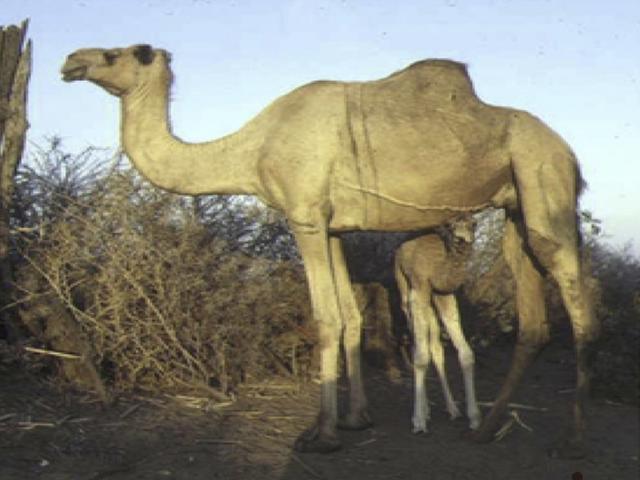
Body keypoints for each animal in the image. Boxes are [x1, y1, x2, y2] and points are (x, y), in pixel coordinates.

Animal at [395, 217, 480, 434]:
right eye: (451, 226)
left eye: (473, 225)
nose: (462, 240)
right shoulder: (419, 287)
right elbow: (420, 357)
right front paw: (418, 420)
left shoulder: (445, 294)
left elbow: (466, 353)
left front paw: (474, 417)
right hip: (403, 285)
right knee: (418, 342)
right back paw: (425, 410)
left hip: (431, 303)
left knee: (435, 345)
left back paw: (452, 409)